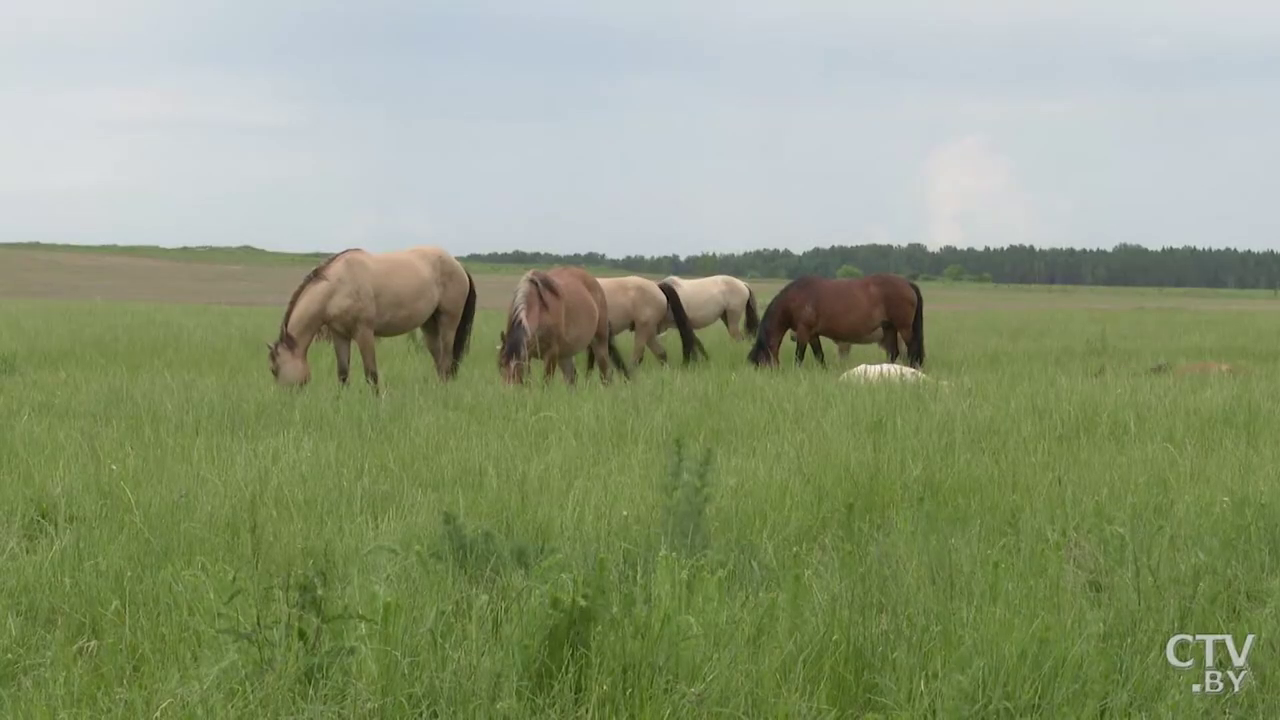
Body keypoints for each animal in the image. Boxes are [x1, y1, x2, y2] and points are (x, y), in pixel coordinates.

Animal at [267, 244, 478, 389]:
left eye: (274, 369)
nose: (284, 400)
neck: (338, 286)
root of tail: (459, 265)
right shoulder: (339, 335)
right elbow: (342, 373)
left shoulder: (364, 333)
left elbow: (371, 374)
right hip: (429, 325)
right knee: (439, 362)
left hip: (448, 323)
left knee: (447, 362)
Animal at [496, 265, 632, 386]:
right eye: (500, 365)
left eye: (518, 366)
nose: (509, 390)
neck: (539, 309)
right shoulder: (528, 355)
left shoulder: (551, 354)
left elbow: (546, 383)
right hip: (565, 354)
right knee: (571, 378)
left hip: (599, 342)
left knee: (605, 375)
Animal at [747, 271, 926, 366]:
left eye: (760, 362)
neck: (796, 298)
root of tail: (907, 284)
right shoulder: (812, 334)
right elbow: (819, 356)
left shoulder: (804, 332)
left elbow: (799, 356)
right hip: (889, 327)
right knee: (893, 352)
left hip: (903, 328)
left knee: (912, 349)